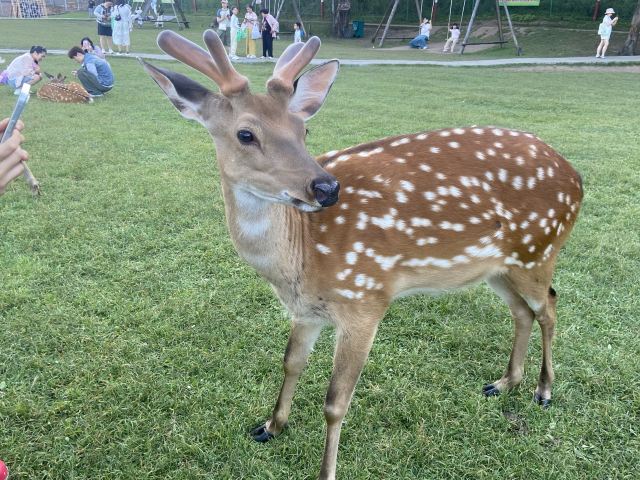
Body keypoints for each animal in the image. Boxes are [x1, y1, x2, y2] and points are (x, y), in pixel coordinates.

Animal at [140, 30, 583, 480]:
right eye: (245, 134)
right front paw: (270, 425)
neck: (297, 262)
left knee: (549, 305)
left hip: (539, 247)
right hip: (498, 267)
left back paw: (544, 390)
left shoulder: (365, 300)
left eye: (304, 129)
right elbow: (291, 362)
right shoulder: (306, 310)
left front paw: (325, 471)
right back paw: (504, 382)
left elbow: (335, 403)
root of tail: (576, 177)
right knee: (522, 311)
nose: (325, 188)